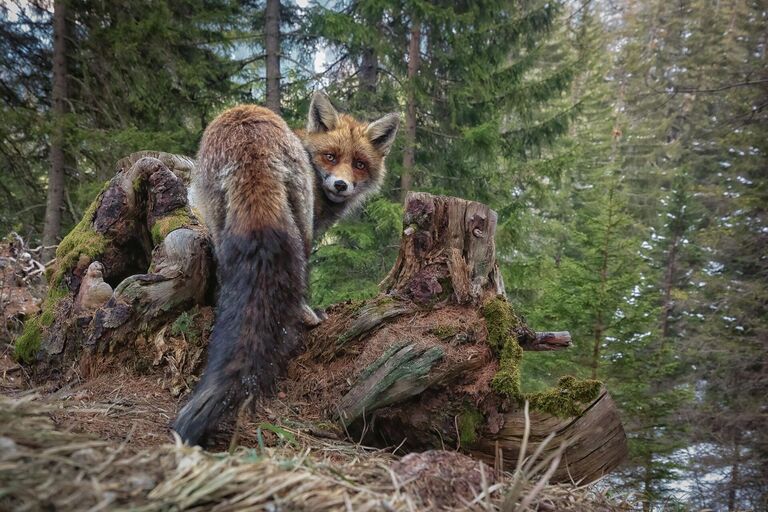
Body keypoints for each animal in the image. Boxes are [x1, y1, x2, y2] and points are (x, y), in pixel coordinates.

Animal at [174, 92, 400, 444]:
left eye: (360, 164)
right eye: (330, 157)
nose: (341, 185)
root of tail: (248, 140)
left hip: (218, 219)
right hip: (300, 222)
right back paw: (306, 316)